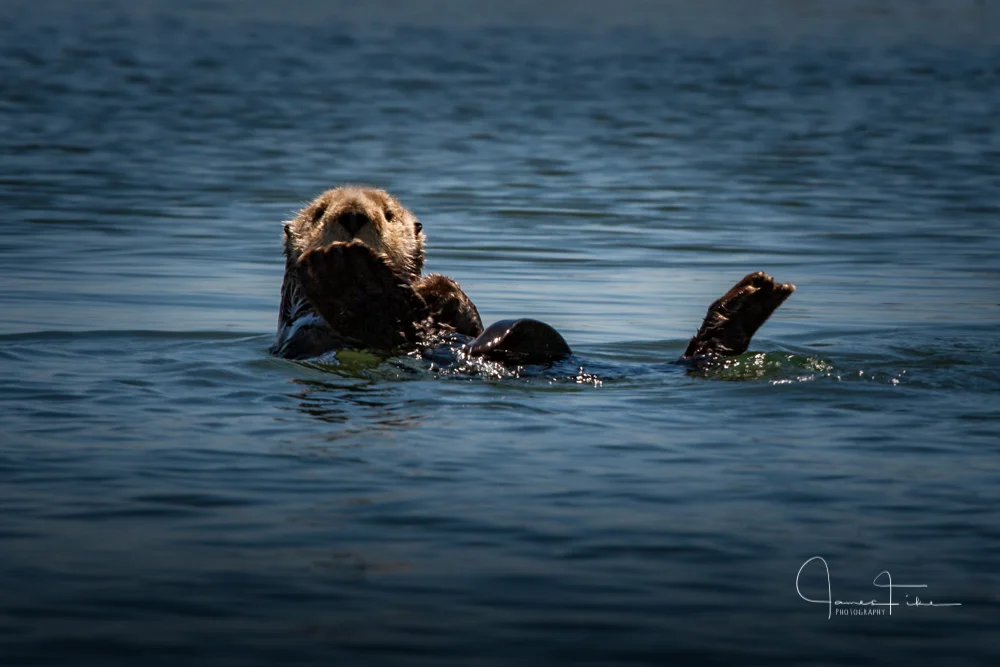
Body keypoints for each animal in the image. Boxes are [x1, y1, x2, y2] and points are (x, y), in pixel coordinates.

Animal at [271, 186, 794, 365]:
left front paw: (439, 290)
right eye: (318, 212)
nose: (353, 216)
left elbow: (463, 312)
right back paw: (351, 279)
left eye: (389, 214)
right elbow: (305, 330)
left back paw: (748, 299)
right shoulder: (299, 326)